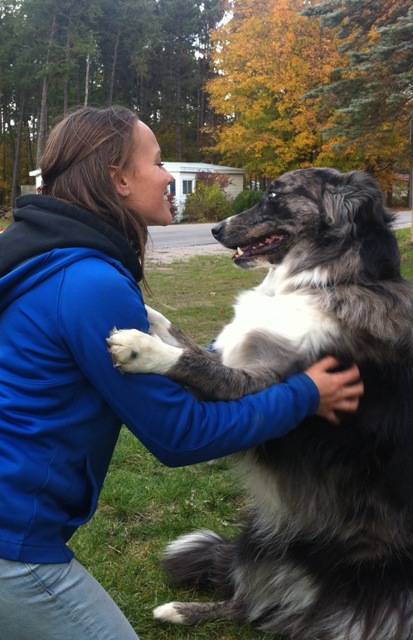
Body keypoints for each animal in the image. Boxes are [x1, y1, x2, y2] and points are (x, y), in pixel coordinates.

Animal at [108, 169, 412, 640]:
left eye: (272, 194)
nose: (215, 229)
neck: (327, 277)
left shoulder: (259, 388)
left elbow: (188, 360)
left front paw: (142, 349)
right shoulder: (233, 359)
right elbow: (180, 335)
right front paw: (141, 306)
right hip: (263, 541)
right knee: (250, 604)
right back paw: (181, 611)